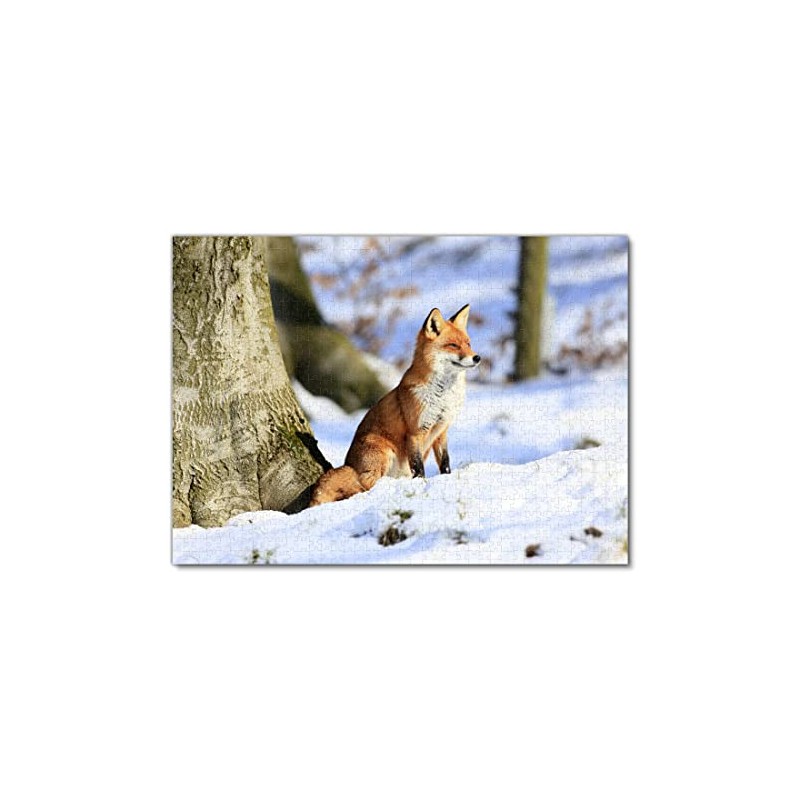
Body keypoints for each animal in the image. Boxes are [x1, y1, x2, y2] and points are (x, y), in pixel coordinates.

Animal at [308, 304, 480, 506]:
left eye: (468, 344)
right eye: (453, 345)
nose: (477, 358)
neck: (442, 396)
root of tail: (349, 464)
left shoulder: (441, 430)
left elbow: (445, 462)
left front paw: (446, 478)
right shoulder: (415, 432)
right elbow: (418, 468)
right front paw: (420, 486)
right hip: (383, 452)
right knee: (364, 486)